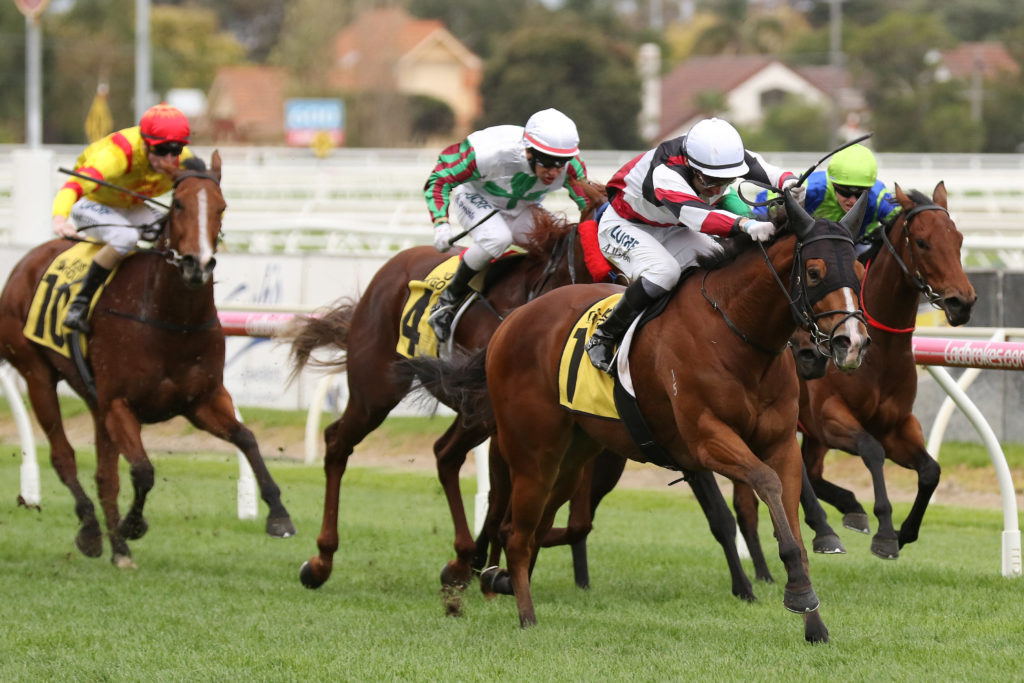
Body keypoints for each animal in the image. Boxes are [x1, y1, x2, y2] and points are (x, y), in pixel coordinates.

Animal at [0, 152, 295, 568]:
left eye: (221, 207)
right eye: (179, 204)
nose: (197, 265)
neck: (171, 320)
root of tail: (25, 260)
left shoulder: (200, 400)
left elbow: (247, 438)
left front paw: (278, 514)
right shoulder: (119, 403)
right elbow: (143, 471)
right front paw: (132, 525)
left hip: (94, 401)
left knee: (105, 476)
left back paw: (118, 551)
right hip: (36, 374)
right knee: (64, 456)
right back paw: (91, 532)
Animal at [409, 192, 871, 642]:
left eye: (859, 270)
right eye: (815, 271)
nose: (851, 343)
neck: (734, 334)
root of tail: (511, 321)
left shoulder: (779, 444)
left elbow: (789, 512)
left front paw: (813, 619)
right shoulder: (706, 441)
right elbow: (766, 484)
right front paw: (797, 590)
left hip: (572, 458)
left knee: (529, 526)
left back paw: (496, 578)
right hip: (533, 455)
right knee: (518, 533)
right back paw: (524, 615)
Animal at [731, 182, 976, 571]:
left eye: (959, 239)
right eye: (923, 242)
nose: (962, 302)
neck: (881, 355)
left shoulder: (898, 424)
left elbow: (930, 471)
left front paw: (904, 532)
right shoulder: (830, 417)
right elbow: (872, 451)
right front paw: (885, 532)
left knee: (806, 473)